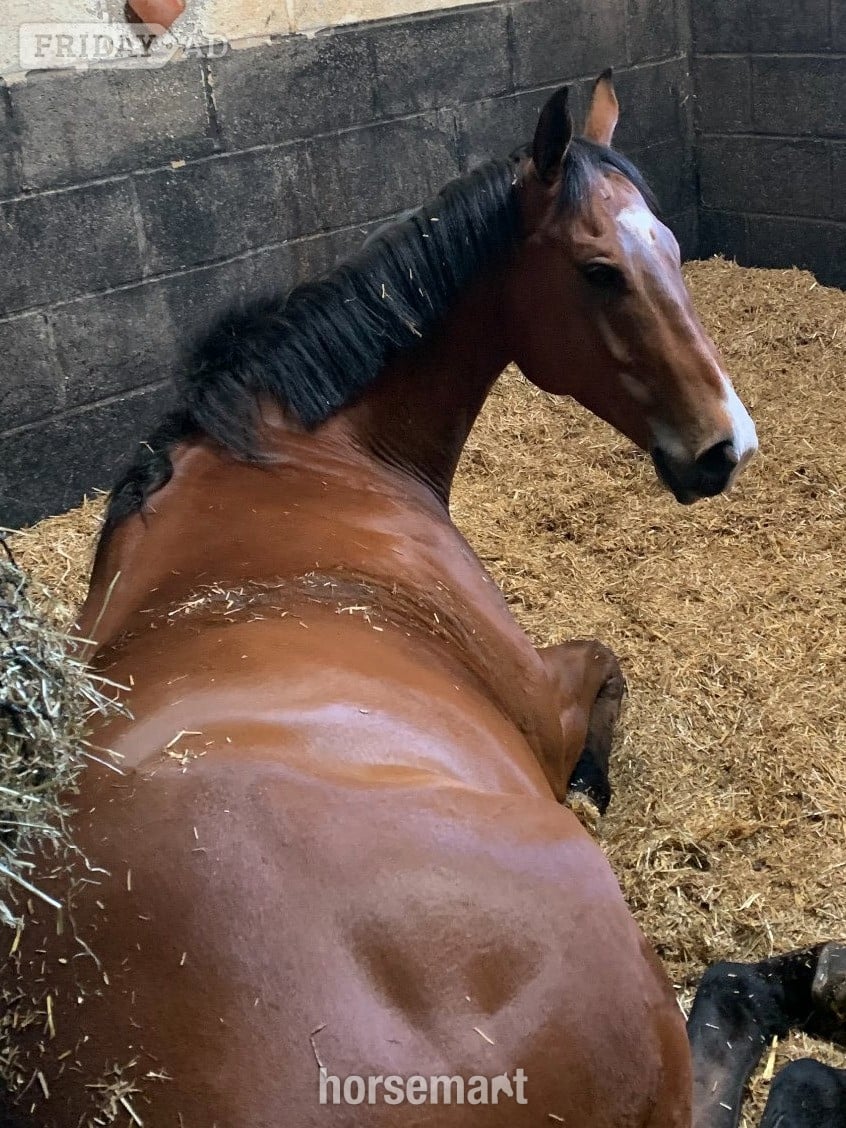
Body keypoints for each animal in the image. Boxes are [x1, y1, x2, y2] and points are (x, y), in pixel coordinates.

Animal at [3, 72, 845, 1128]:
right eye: (600, 272)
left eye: (673, 250)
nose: (726, 447)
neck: (304, 461)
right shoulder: (543, 697)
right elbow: (608, 669)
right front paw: (594, 782)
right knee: (731, 1015)